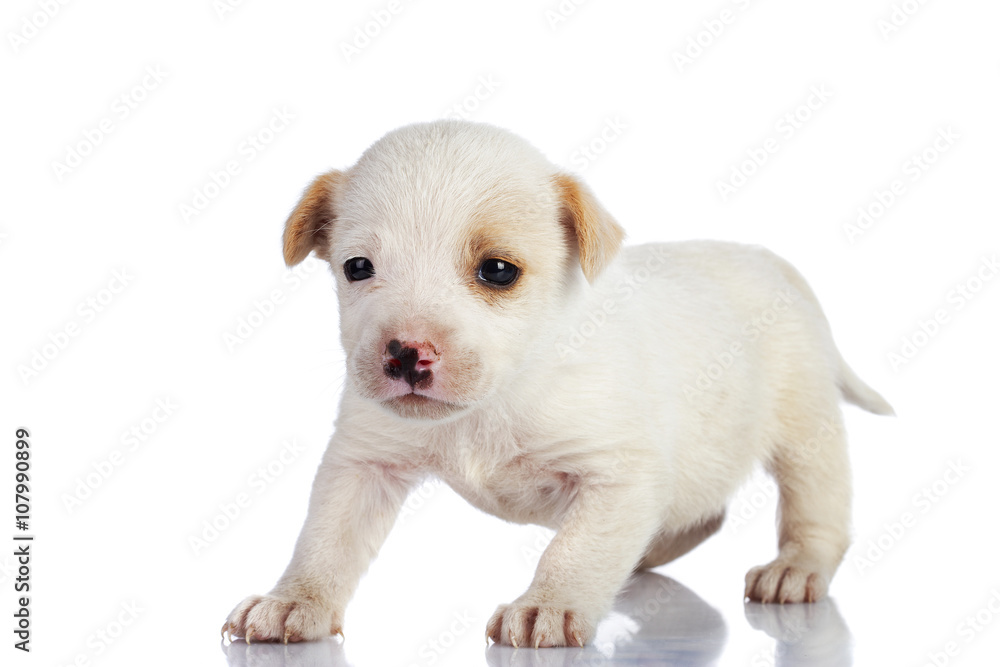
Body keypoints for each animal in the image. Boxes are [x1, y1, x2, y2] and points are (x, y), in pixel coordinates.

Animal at [221, 118, 892, 648]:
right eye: (357, 267)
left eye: (498, 271)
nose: (407, 353)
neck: (493, 401)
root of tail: (774, 265)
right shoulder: (362, 465)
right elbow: (325, 540)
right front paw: (293, 602)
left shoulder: (617, 476)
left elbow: (574, 549)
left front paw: (548, 606)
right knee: (699, 515)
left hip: (806, 432)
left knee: (817, 510)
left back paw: (796, 569)